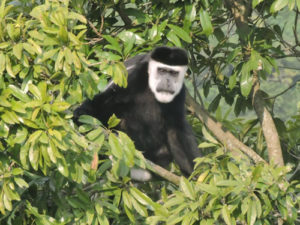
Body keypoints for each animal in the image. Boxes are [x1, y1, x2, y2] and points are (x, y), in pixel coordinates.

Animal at [74, 46, 202, 179]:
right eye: (161, 70)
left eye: (173, 73)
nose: (167, 81)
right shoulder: (134, 77)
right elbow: (102, 102)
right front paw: (81, 115)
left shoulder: (180, 93)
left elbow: (175, 130)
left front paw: (197, 174)